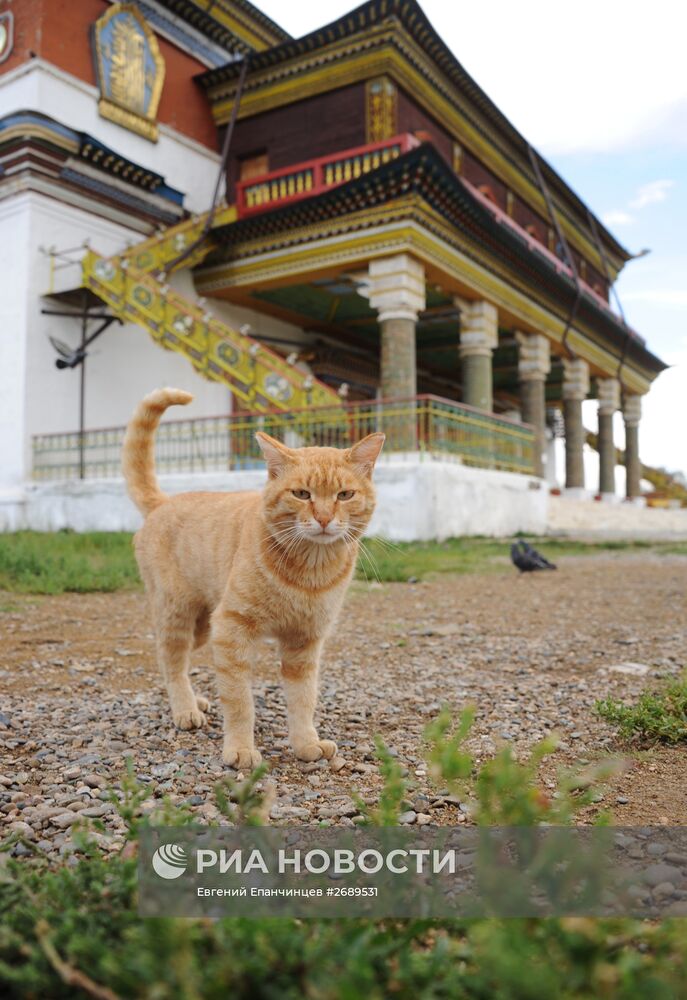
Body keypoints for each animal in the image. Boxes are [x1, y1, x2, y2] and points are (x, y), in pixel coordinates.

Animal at [121, 386, 384, 768]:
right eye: (302, 494)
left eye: (344, 495)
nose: (323, 518)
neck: (309, 571)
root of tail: (163, 502)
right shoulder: (232, 629)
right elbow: (239, 701)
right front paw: (241, 749)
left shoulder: (305, 642)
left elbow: (303, 699)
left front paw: (306, 743)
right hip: (179, 614)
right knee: (169, 657)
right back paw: (185, 710)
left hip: (203, 627)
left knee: (177, 660)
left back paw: (196, 701)